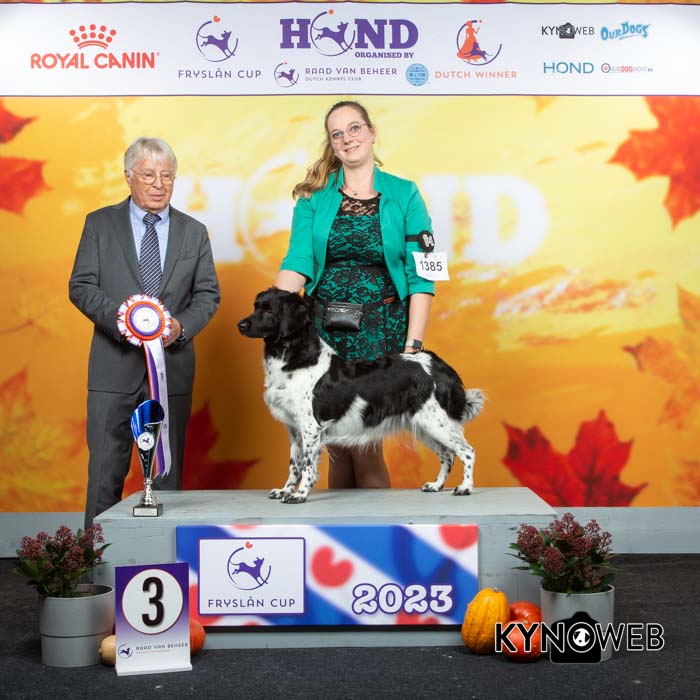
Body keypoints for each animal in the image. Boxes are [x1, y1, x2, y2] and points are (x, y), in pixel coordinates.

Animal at [237, 288, 484, 504]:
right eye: (255, 306)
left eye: (270, 311)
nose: (241, 325)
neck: (296, 357)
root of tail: (441, 365)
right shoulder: (294, 429)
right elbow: (294, 464)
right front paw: (285, 490)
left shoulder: (310, 427)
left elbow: (307, 465)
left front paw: (300, 495)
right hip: (425, 425)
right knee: (447, 455)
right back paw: (437, 485)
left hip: (437, 422)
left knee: (467, 451)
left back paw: (465, 487)